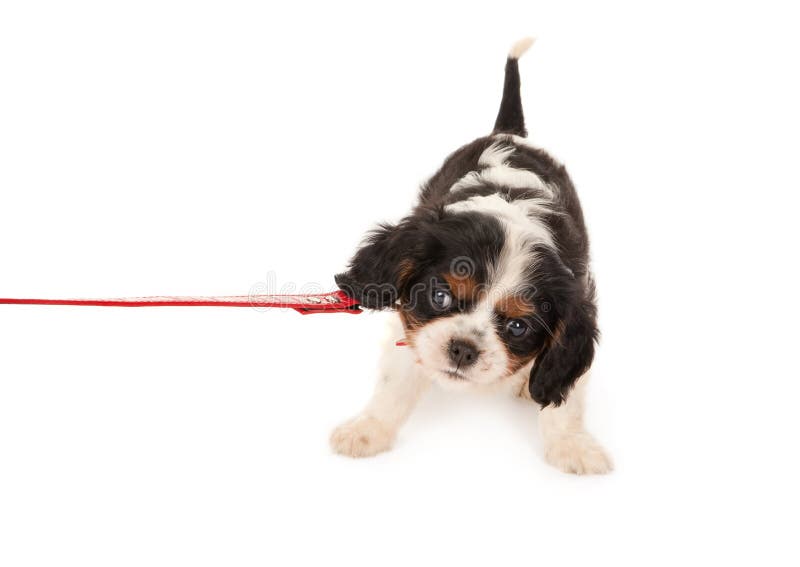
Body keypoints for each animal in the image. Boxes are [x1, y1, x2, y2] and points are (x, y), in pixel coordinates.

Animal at [332, 37, 612, 474]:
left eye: (518, 327)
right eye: (440, 296)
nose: (463, 348)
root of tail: (509, 133)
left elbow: (565, 402)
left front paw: (572, 446)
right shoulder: (408, 328)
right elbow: (393, 385)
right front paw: (368, 430)